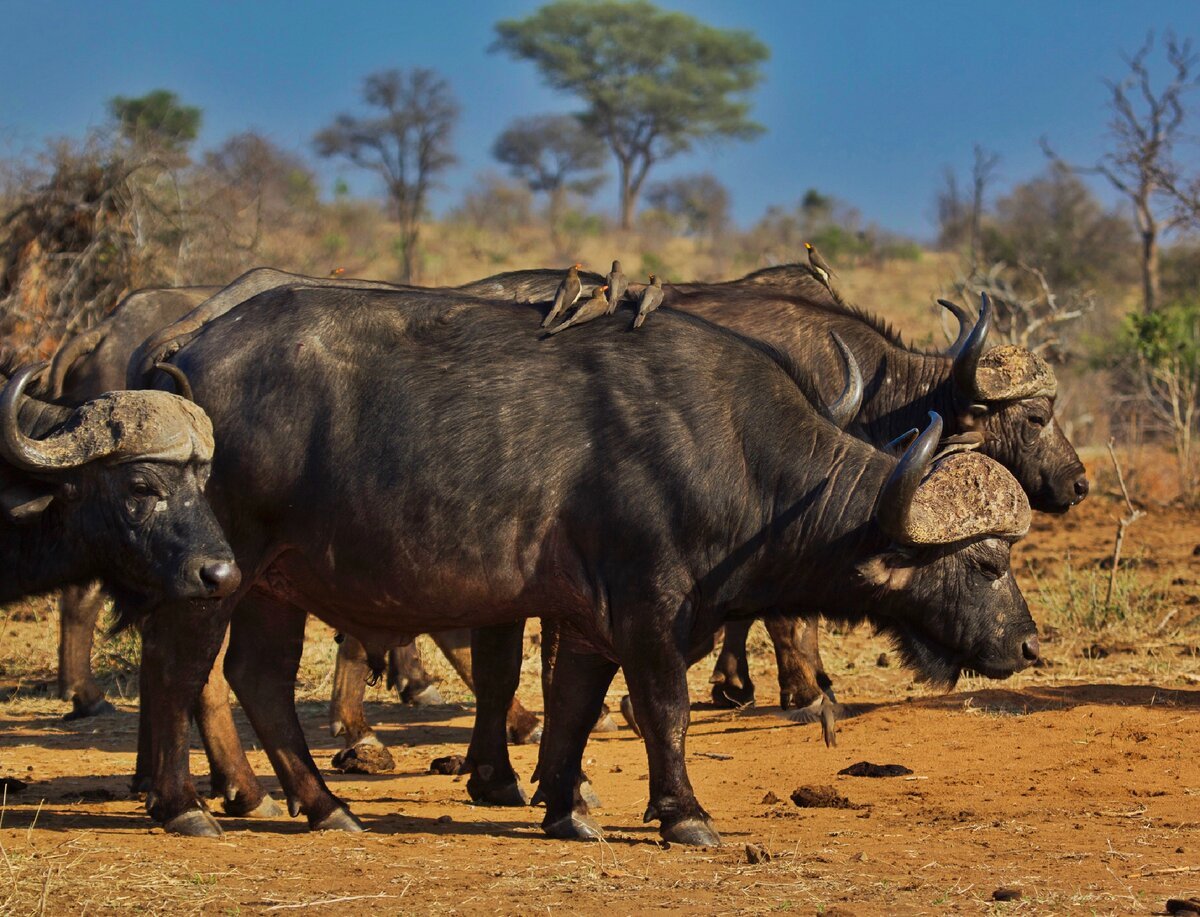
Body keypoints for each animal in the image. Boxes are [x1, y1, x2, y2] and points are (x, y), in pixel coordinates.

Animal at [129, 284, 1032, 844]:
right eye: (987, 562)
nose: (1025, 644)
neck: (737, 453)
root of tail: (187, 356)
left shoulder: (588, 619)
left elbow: (571, 707)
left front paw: (564, 807)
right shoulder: (651, 611)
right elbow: (664, 710)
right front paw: (684, 813)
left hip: (276, 585)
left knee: (260, 678)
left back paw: (325, 805)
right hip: (219, 572)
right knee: (179, 668)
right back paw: (183, 804)